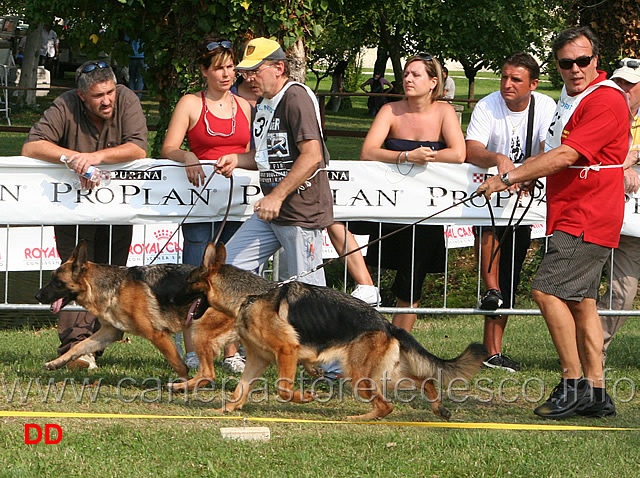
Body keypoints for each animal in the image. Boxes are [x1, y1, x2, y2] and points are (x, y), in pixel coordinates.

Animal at [35, 241, 235, 390]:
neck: (114, 287)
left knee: (208, 373)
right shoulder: (110, 332)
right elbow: (79, 347)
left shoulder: (157, 335)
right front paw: (56, 363)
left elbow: (178, 364)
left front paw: (183, 381)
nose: (36, 296)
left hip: (198, 332)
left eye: (57, 282)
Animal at [192, 243, 488, 418]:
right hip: (383, 375)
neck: (250, 296)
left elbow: (284, 388)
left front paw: (306, 397)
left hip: (358, 376)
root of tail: (387, 324)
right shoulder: (258, 359)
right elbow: (241, 388)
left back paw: (362, 418)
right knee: (422, 382)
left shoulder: (286, 351)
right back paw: (438, 409)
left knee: (386, 404)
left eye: (187, 280)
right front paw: (230, 408)